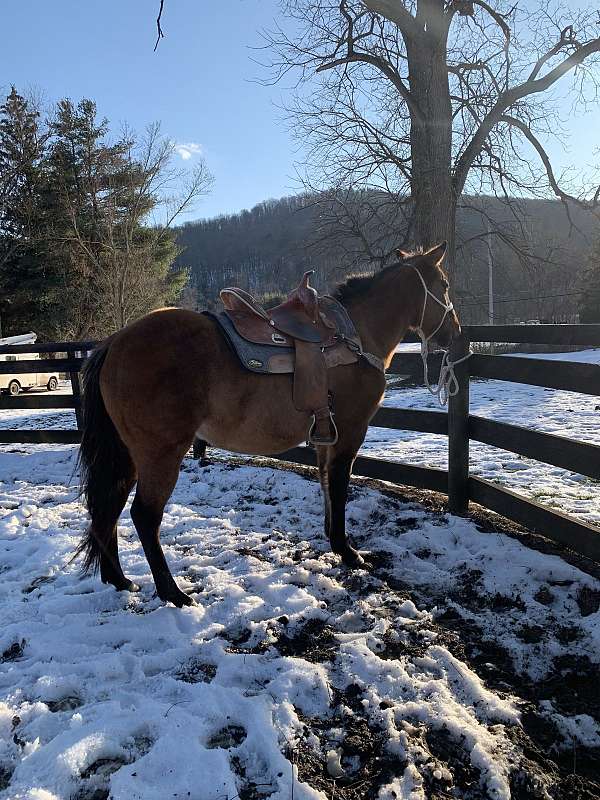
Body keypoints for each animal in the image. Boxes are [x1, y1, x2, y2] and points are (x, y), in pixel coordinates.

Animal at [76, 241, 461, 607]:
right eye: (443, 285)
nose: (455, 333)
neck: (357, 336)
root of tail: (114, 343)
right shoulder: (350, 431)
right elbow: (339, 486)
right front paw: (347, 551)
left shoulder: (325, 435)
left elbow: (325, 484)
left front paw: (333, 540)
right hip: (160, 455)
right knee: (144, 516)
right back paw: (173, 593)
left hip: (127, 456)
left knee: (108, 507)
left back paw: (119, 580)